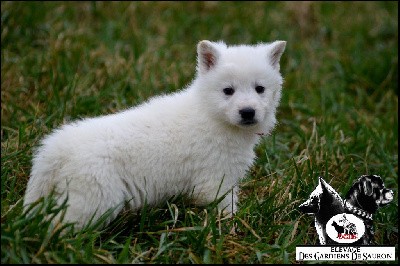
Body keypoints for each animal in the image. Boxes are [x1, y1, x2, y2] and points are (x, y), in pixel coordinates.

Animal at [23, 40, 286, 229]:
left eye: (260, 89)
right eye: (228, 91)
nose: (248, 112)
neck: (210, 114)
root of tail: (54, 151)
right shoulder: (215, 180)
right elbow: (226, 208)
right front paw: (233, 228)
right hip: (93, 198)